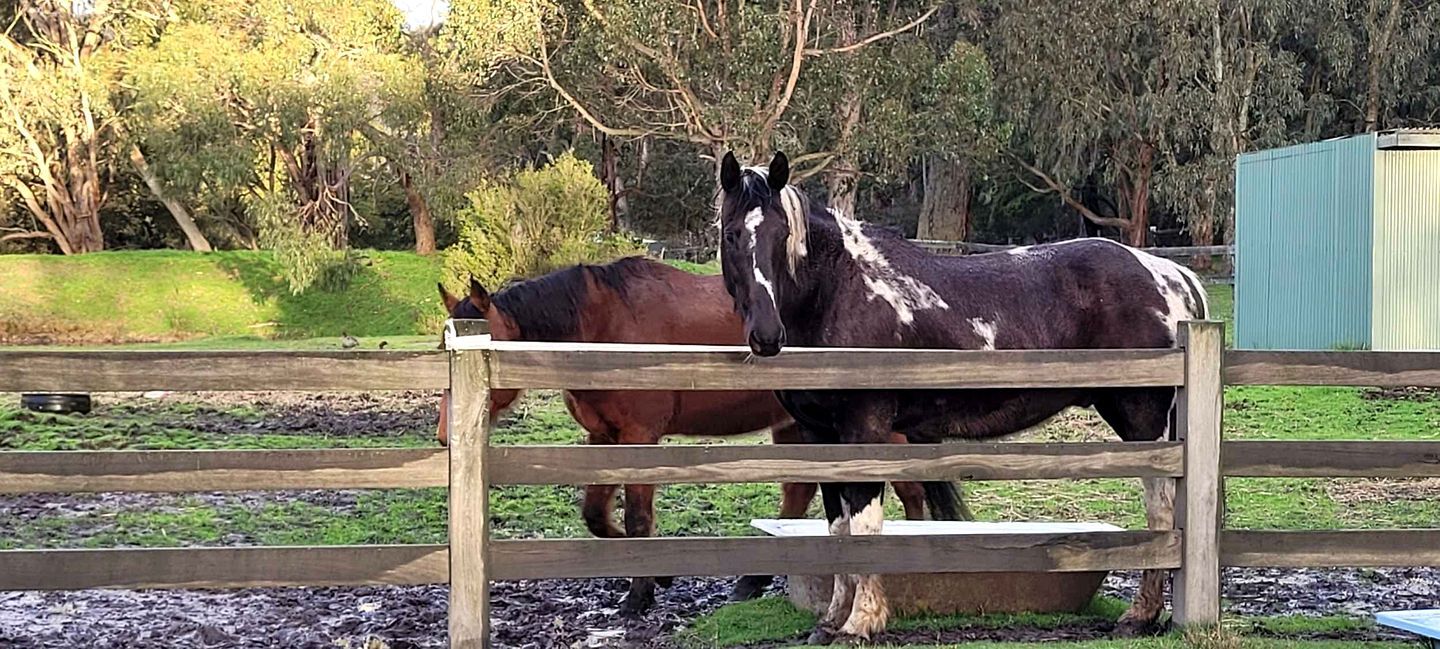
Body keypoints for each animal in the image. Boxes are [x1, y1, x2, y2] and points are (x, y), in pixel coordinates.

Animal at [434, 257, 970, 615]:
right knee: (800, 494)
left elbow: (637, 517)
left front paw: (641, 591)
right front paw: (660, 573)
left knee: (910, 491)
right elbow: (596, 515)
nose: (443, 436)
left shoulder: (639, 438)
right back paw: (753, 581)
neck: (603, 326)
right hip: (797, 427)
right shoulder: (603, 440)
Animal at [715, 151, 1209, 644]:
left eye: (782, 234)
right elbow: (837, 527)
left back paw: (1140, 615)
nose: (766, 335)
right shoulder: (819, 436)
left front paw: (860, 623)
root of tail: (1172, 276)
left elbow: (865, 524)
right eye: (732, 233)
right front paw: (831, 620)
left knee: (1161, 512)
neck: (840, 290)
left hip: (1142, 420)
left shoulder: (864, 429)